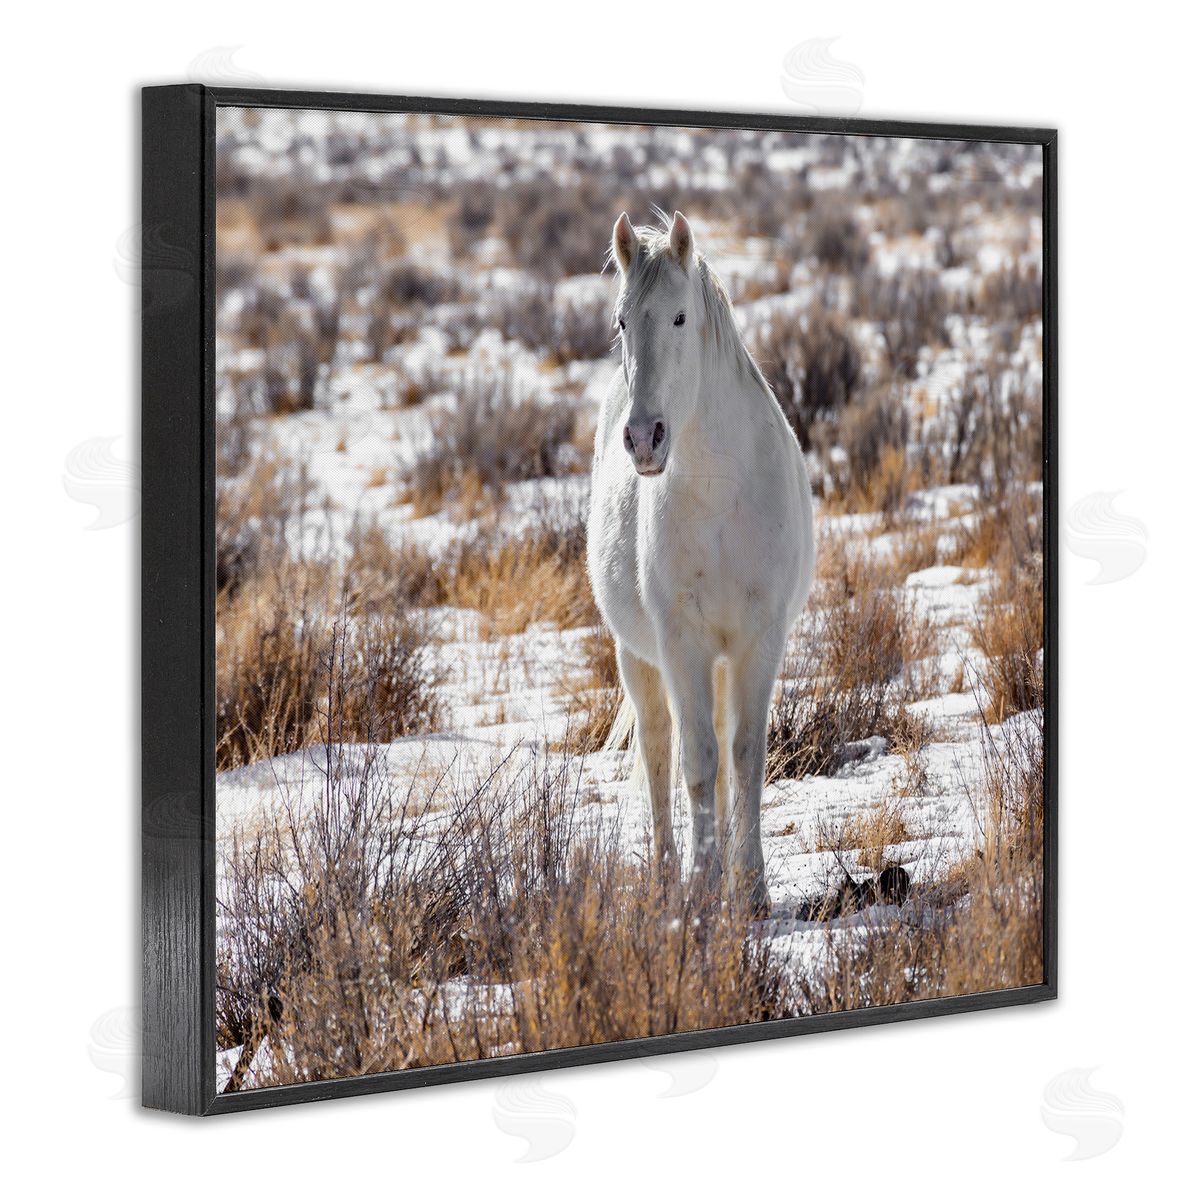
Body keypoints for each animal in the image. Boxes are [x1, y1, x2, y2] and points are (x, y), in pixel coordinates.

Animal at [586, 210, 815, 915]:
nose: (643, 438)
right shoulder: (680, 641)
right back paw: (668, 873)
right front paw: (704, 886)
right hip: (638, 656)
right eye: (621, 322)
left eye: (681, 317)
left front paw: (752, 887)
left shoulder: (758, 638)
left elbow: (744, 753)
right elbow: (695, 760)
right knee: (660, 746)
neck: (719, 492)